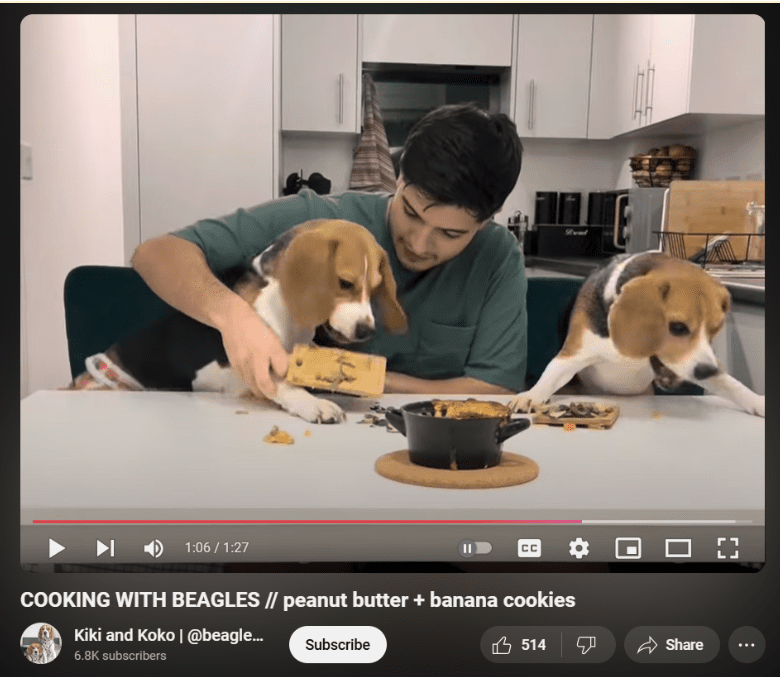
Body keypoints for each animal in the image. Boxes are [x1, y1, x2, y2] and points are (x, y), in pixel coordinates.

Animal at [508, 250, 764, 414]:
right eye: (678, 327)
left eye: (715, 328)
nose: (707, 371)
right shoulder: (573, 355)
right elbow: (550, 376)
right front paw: (530, 396)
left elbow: (732, 385)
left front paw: (759, 403)